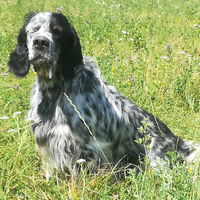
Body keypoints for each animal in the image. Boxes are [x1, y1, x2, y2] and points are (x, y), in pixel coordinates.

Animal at [7, 12, 198, 178]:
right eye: (33, 29)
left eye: (57, 31)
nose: (40, 42)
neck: (55, 92)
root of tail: (180, 144)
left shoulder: (86, 147)